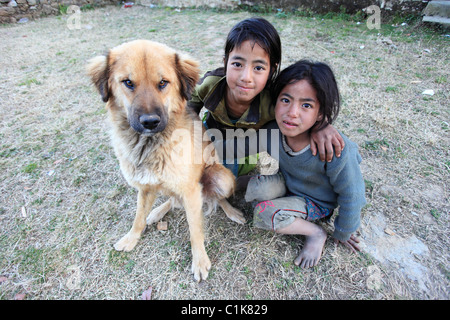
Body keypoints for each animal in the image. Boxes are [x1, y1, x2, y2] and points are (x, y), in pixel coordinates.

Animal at [86, 40, 244, 282]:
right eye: (128, 82)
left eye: (163, 83)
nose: (150, 122)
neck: (150, 145)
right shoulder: (144, 186)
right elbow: (138, 216)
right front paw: (132, 237)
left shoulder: (191, 190)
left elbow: (195, 229)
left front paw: (200, 261)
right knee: (171, 199)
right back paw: (157, 211)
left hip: (220, 178)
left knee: (217, 198)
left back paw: (232, 212)